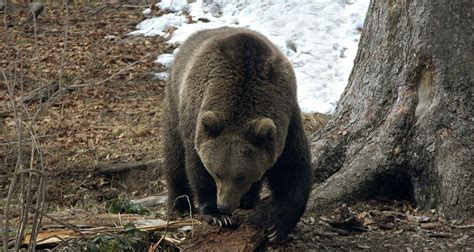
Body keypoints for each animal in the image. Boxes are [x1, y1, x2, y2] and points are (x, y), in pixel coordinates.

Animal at [161, 26, 312, 241]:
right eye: (217, 172)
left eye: (241, 176)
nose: (224, 205)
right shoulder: (196, 117)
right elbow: (195, 165)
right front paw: (216, 215)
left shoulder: (288, 116)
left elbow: (291, 168)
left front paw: (277, 226)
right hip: (174, 103)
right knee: (174, 156)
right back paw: (180, 204)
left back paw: (249, 198)